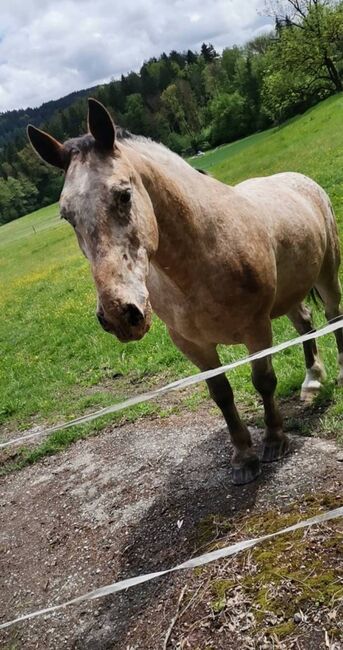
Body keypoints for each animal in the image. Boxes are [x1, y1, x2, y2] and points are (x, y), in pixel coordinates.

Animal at [27, 98, 343, 484]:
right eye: (66, 215)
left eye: (124, 195)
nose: (119, 314)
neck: (202, 253)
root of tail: (298, 180)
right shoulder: (192, 344)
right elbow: (220, 393)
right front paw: (243, 457)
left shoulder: (257, 329)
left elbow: (263, 381)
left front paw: (274, 441)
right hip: (289, 294)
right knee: (305, 322)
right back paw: (312, 382)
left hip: (326, 276)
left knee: (333, 316)